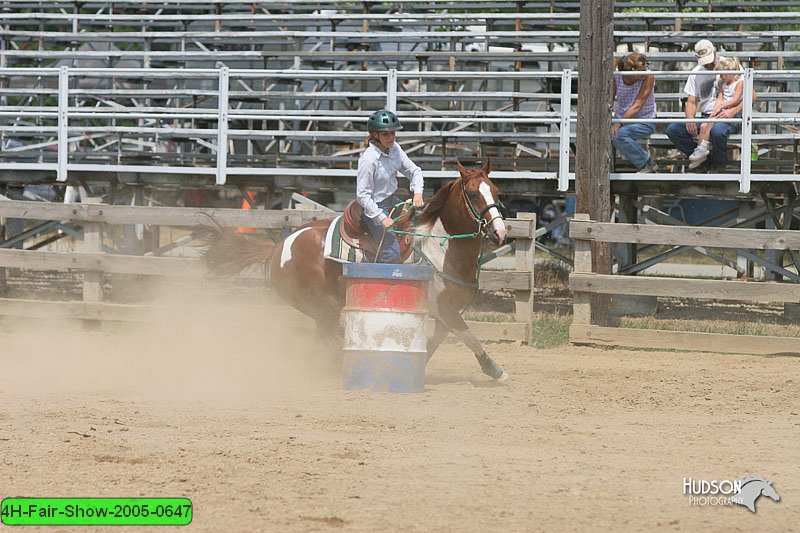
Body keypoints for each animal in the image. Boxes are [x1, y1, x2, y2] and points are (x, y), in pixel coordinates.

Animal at [200, 160, 512, 380]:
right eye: (473, 193)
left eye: (496, 192)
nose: (499, 232)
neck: (441, 249)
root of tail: (278, 247)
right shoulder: (445, 310)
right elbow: (471, 338)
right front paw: (495, 370)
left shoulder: (448, 314)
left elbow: (436, 342)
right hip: (322, 305)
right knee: (324, 336)